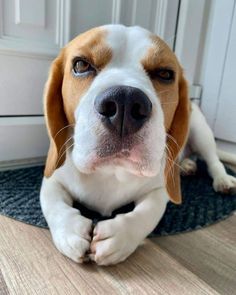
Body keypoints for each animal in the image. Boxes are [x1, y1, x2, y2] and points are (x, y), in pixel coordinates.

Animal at [39, 24, 235, 266]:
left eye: (165, 74)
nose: (124, 101)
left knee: (213, 159)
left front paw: (119, 236)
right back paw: (187, 165)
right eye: (81, 65)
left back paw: (222, 179)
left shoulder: (160, 189)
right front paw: (70, 232)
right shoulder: (52, 179)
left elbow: (147, 213)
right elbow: (53, 205)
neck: (111, 171)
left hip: (200, 129)